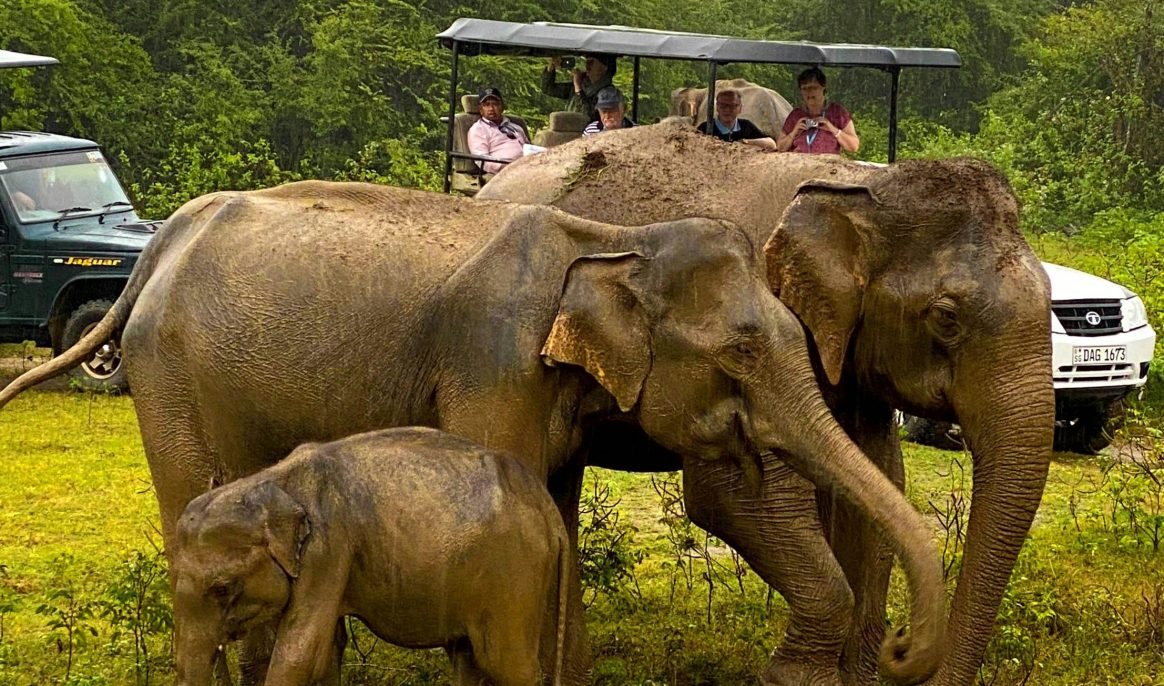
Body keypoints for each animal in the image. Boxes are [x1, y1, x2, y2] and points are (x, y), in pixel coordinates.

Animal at [172, 427, 571, 686]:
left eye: (222, 588)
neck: (272, 480)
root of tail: (547, 505)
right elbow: (325, 651)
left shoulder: (328, 548)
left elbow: (302, 651)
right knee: (469, 659)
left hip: (514, 575)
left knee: (506, 662)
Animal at [478, 122, 1054, 686]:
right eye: (945, 317)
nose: (902, 646)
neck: (861, 185)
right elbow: (734, 497)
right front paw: (797, 676)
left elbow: (880, 481)